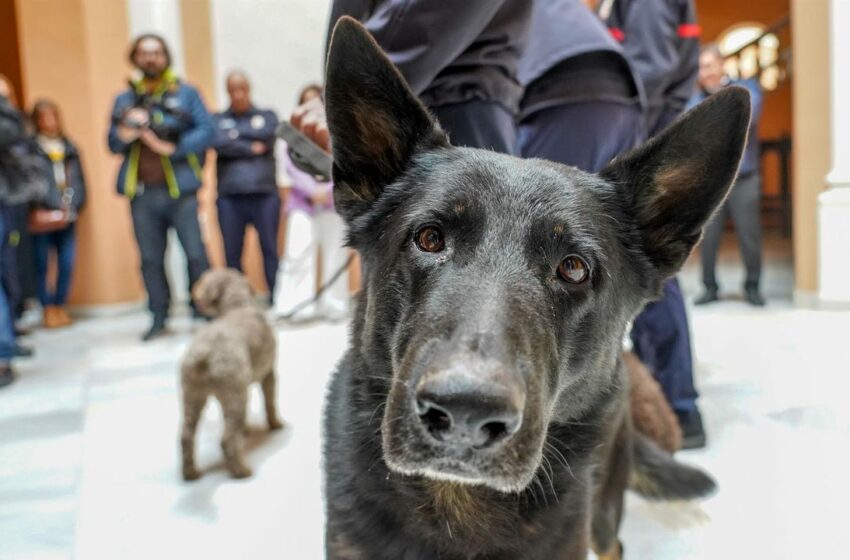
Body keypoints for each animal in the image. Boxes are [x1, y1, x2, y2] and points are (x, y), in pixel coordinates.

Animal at [180, 270, 282, 480]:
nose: (196, 294)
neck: (238, 306)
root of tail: (203, 353)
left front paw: (245, 431)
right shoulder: (269, 372)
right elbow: (270, 402)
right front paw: (276, 424)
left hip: (192, 396)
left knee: (186, 436)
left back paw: (190, 473)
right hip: (235, 393)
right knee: (227, 439)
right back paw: (241, 470)